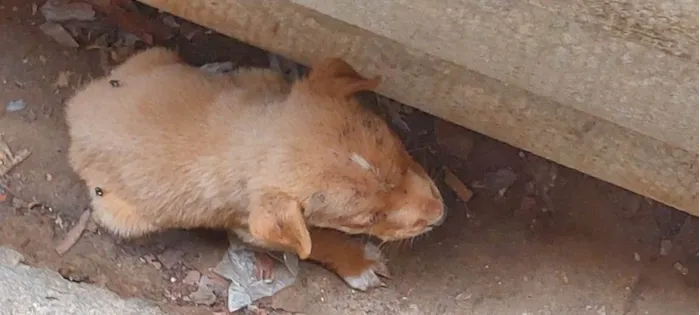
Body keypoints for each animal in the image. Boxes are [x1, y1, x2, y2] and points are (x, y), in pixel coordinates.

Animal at [67, 47, 448, 292]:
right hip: (121, 213)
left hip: (154, 58)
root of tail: (76, 107)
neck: (251, 137)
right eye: (366, 220)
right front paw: (360, 264)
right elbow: (317, 242)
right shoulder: (255, 227)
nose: (440, 214)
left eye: (401, 152)